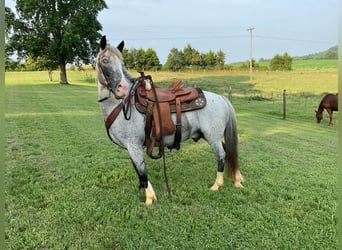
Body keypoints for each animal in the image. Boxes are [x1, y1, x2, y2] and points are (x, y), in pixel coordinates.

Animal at [95, 36, 242, 205]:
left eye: (122, 62)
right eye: (105, 60)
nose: (122, 88)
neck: (123, 103)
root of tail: (221, 98)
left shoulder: (133, 145)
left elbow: (142, 171)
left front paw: (149, 198)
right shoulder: (131, 147)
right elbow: (138, 170)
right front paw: (141, 188)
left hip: (213, 138)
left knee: (221, 155)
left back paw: (217, 185)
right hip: (212, 137)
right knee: (229, 151)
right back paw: (237, 180)